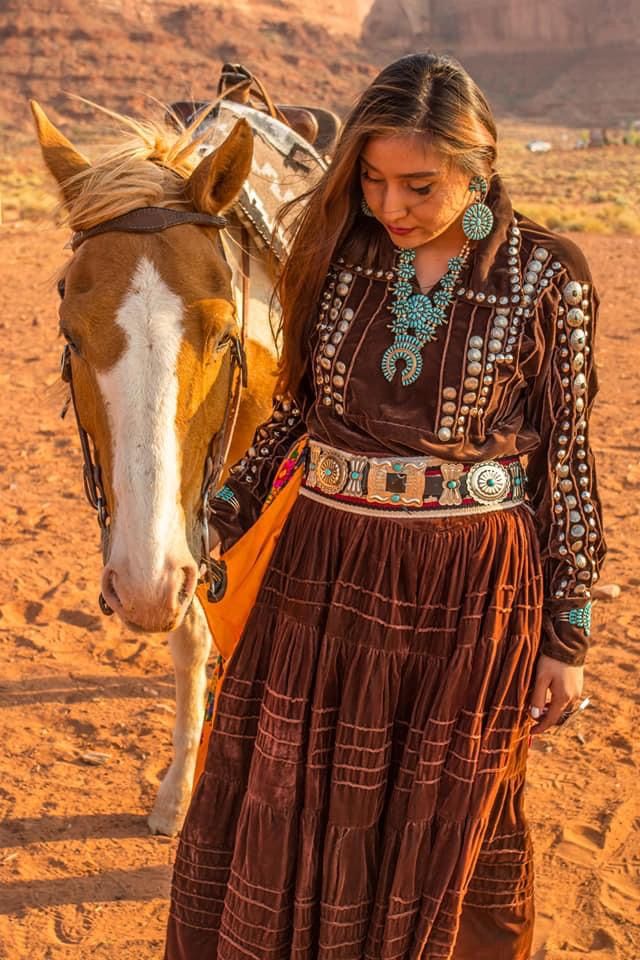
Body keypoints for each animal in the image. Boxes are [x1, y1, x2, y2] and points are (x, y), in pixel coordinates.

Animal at [31, 82, 328, 832]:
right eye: (70, 335)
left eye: (223, 334)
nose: (139, 587)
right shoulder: (187, 529)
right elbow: (192, 632)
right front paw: (177, 790)